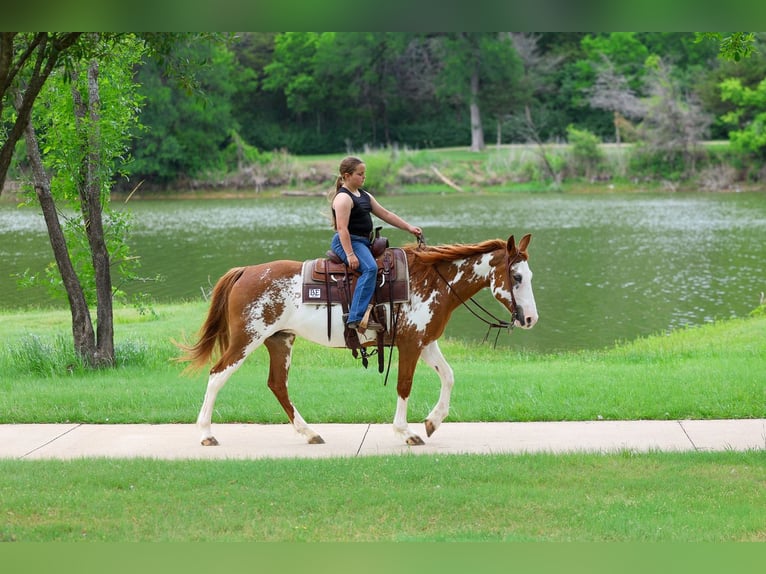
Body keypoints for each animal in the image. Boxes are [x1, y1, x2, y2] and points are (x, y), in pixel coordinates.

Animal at [179, 233, 538, 447]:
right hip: (247, 338)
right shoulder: (410, 345)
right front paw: (406, 432)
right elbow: (404, 385)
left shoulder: (425, 342)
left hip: (280, 340)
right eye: (516, 276)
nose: (531, 319)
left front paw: (432, 422)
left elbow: (448, 377)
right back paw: (206, 433)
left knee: (277, 384)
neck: (431, 280)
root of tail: (246, 271)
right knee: (218, 374)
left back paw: (309, 432)